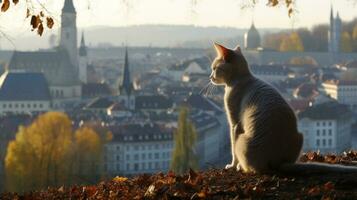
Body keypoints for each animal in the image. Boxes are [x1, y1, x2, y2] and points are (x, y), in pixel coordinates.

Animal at [210, 42, 356, 173]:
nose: (210, 77)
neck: (241, 78)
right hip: (300, 135)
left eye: (214, 68)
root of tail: (278, 163)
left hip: (241, 140)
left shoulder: (234, 124)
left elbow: (233, 150)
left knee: (251, 165)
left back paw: (241, 167)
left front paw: (232, 166)